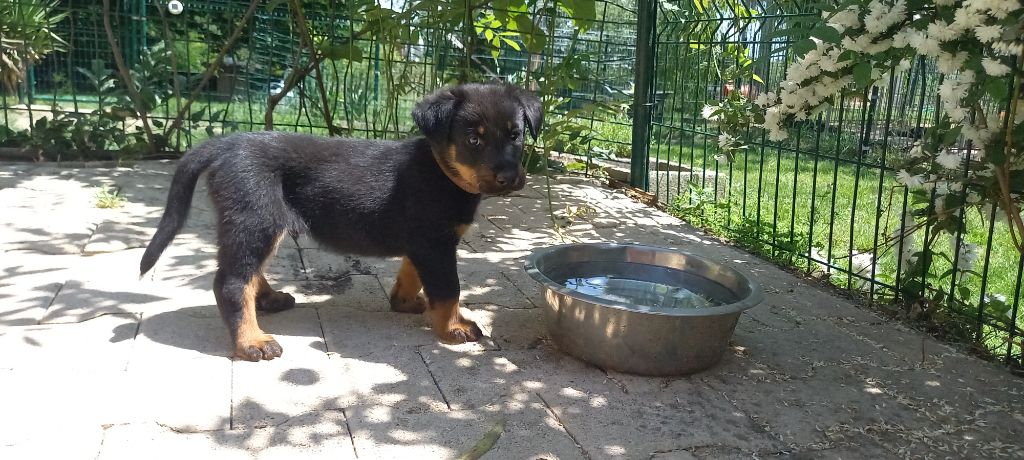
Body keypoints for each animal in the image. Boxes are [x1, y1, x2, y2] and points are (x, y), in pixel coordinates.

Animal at [139, 83, 542, 361]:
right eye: (474, 140)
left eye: (516, 135)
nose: (510, 177)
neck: (442, 170)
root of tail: (225, 143)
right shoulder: (436, 245)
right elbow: (448, 291)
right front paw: (453, 327)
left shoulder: (423, 244)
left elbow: (410, 274)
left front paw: (405, 302)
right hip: (256, 218)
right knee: (232, 281)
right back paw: (251, 341)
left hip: (261, 224)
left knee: (248, 271)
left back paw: (268, 300)